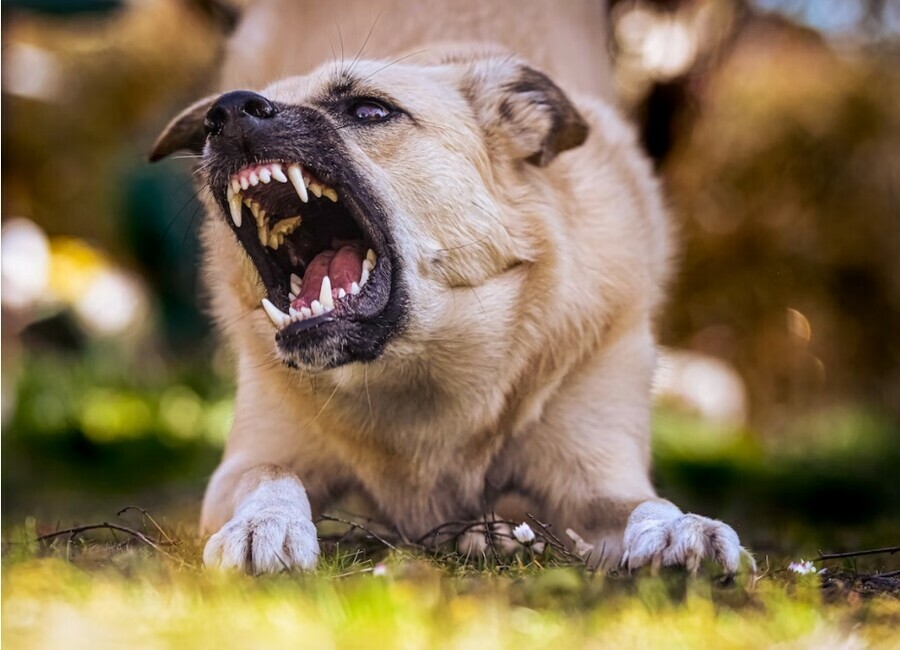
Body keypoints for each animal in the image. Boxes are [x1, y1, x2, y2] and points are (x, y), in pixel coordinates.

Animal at [151, 33, 748, 572]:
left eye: (369, 109)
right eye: (218, 115)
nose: (227, 111)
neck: (417, 371)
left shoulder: (597, 478)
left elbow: (645, 502)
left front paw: (679, 528)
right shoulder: (247, 462)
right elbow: (272, 474)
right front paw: (264, 523)